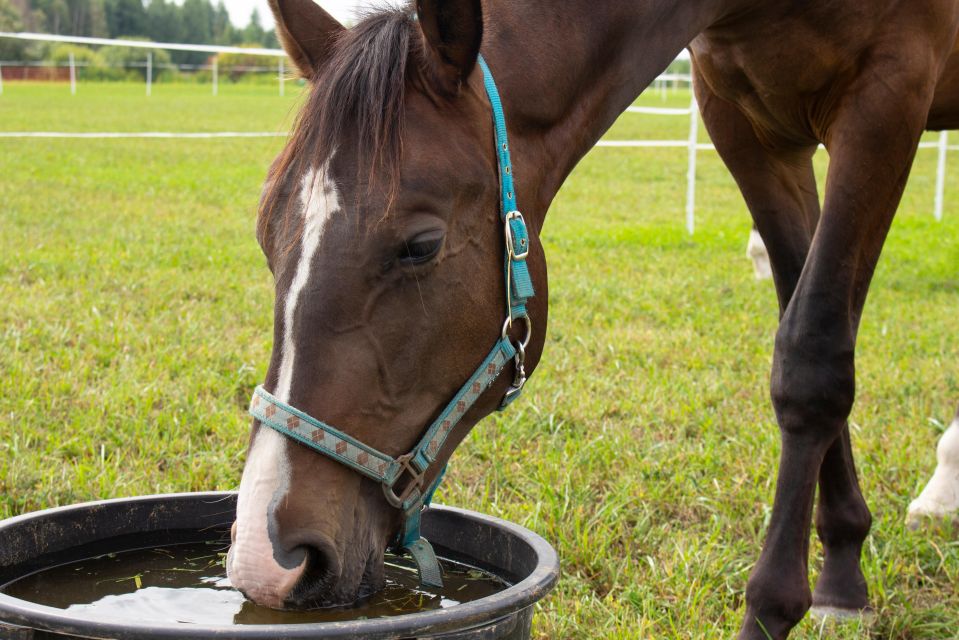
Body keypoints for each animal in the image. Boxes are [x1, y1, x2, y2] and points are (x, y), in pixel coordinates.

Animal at [227, 1, 959, 640]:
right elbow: (804, 319)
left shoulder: (886, 96)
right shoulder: (745, 126)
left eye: (420, 245)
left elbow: (813, 353)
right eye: (264, 232)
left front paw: (777, 608)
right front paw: (843, 570)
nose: (267, 561)